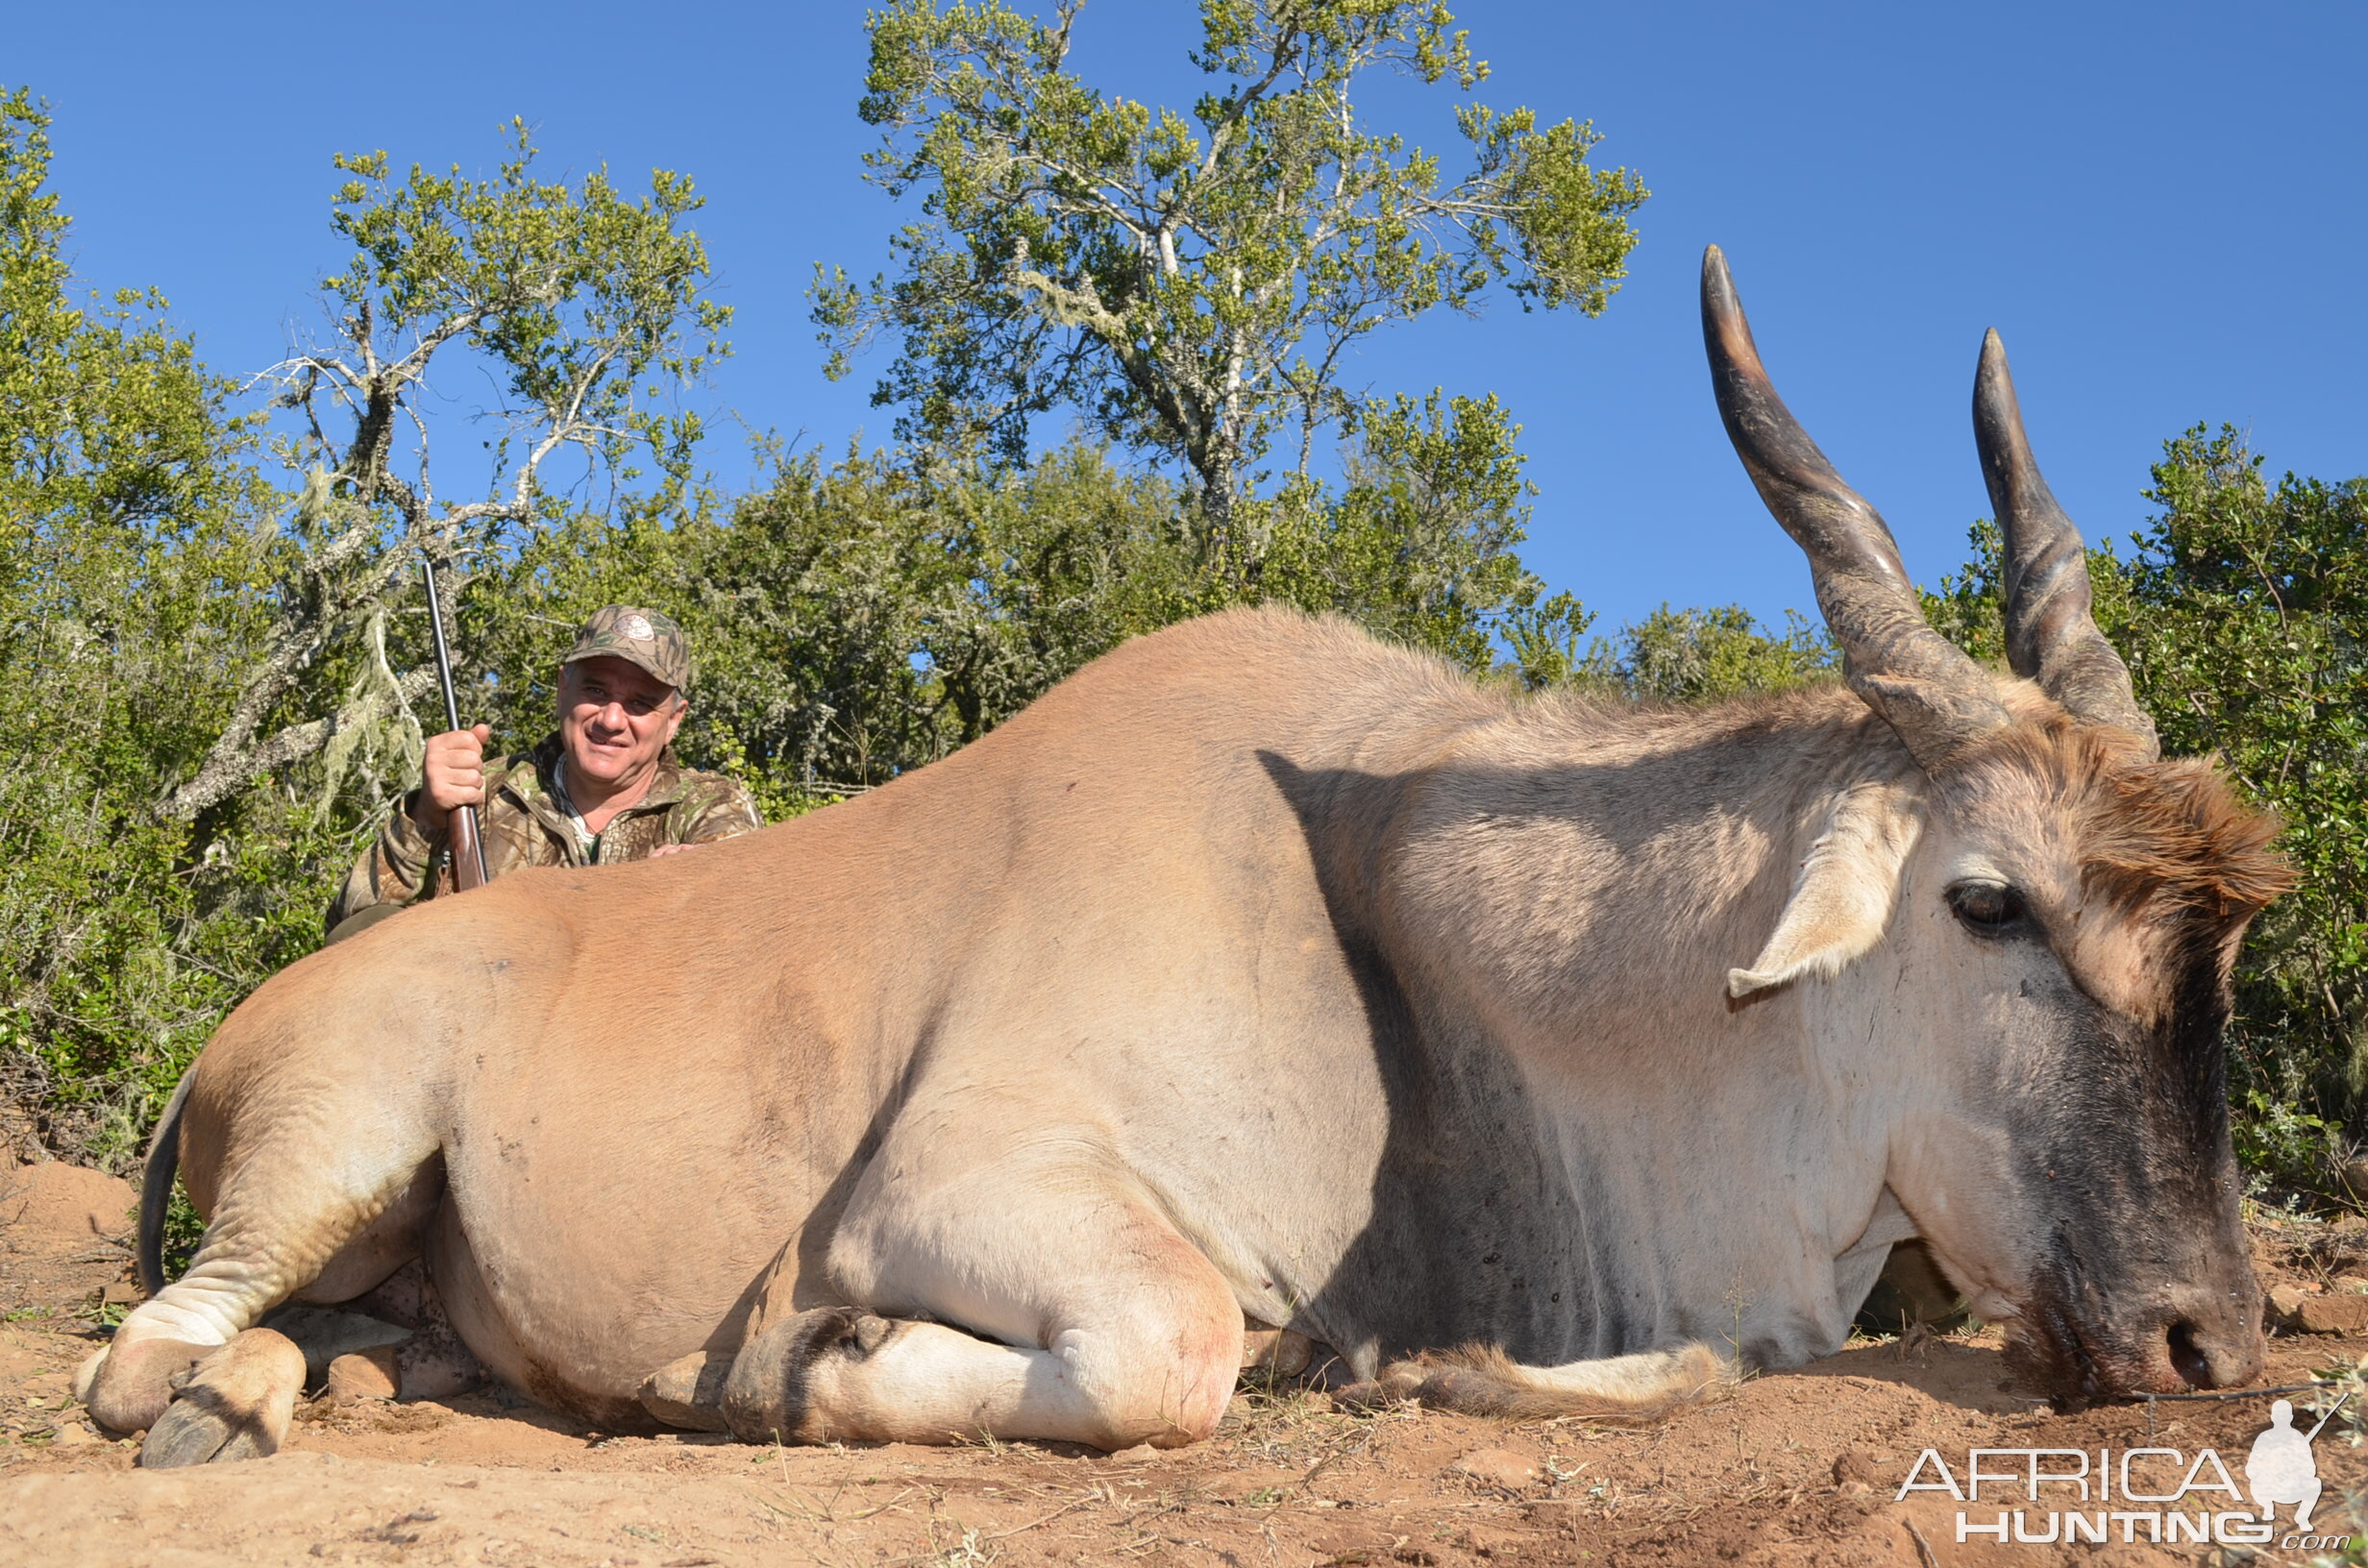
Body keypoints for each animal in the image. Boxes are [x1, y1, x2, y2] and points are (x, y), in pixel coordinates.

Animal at [83, 248, 2282, 1478]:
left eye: (2216, 951)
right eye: (1984, 898)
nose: (2209, 1347)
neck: (1370, 908)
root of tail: (235, 1036)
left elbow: (1692, 1360)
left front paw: (1423, 1378)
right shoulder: (958, 1188)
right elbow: (1170, 1351)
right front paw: (819, 1371)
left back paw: (333, 1389)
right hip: (336, 1147)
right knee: (141, 1350)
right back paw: (220, 1405)